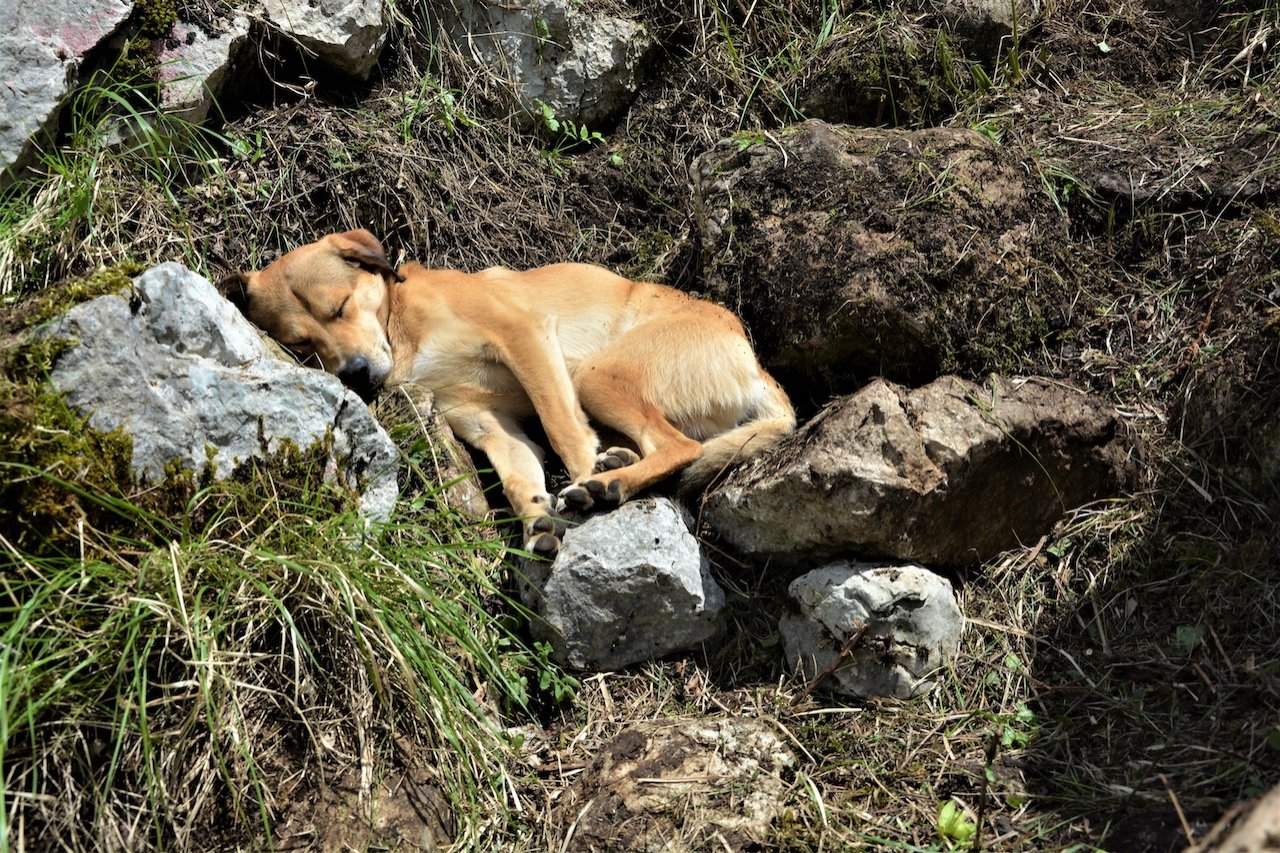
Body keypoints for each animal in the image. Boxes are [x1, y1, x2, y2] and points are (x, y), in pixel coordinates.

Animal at [225, 229, 793, 555]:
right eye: (300, 345)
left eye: (340, 306)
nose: (357, 375)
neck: (402, 325)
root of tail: (753, 363)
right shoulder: (488, 424)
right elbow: (520, 479)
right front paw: (538, 522)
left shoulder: (524, 336)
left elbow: (564, 430)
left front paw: (580, 477)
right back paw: (617, 469)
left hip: (594, 374)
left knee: (681, 446)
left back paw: (604, 484)